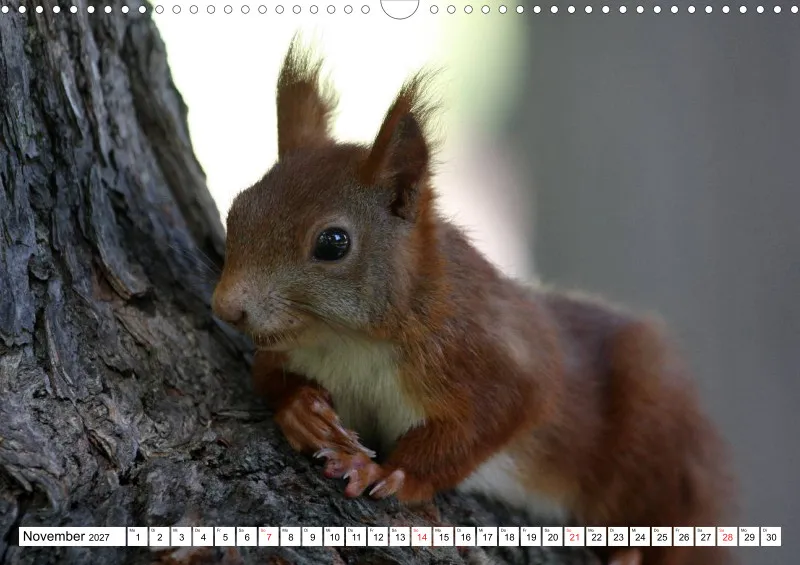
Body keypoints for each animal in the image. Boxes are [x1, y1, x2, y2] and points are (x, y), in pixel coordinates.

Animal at [211, 38, 735, 565]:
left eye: (333, 243)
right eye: (237, 210)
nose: (226, 308)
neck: (350, 341)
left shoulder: (490, 354)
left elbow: (488, 420)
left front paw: (391, 472)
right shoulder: (292, 349)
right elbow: (266, 377)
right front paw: (302, 410)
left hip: (655, 430)